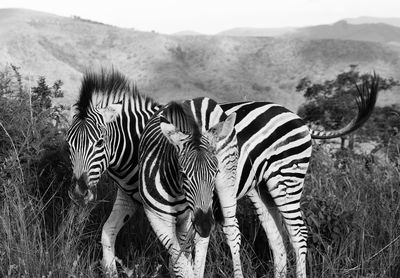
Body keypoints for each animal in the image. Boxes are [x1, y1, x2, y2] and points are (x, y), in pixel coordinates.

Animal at [138, 100, 238, 278]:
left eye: (215, 172)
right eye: (183, 174)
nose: (205, 225)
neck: (176, 191)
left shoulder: (187, 219)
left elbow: (184, 264)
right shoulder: (158, 219)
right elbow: (181, 265)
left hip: (227, 182)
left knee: (231, 231)